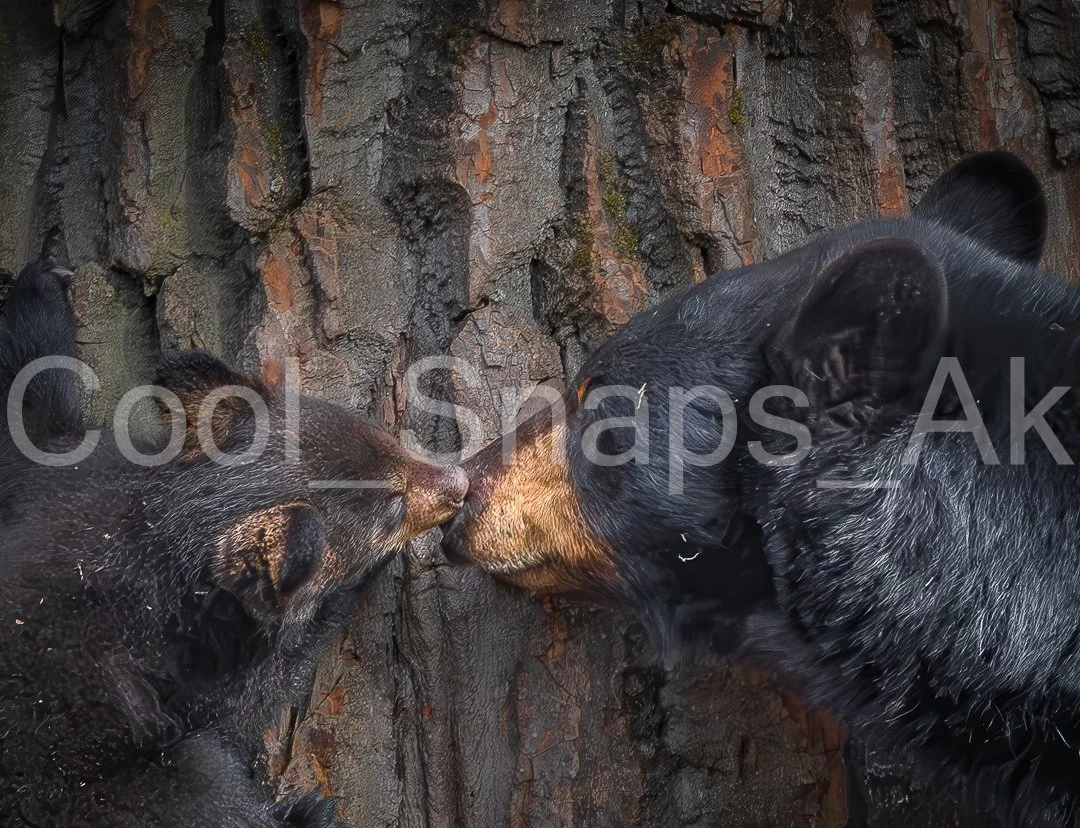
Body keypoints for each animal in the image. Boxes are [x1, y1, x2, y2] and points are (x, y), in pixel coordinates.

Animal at [0, 257, 468, 826]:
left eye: (382, 437)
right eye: (391, 510)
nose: (459, 483)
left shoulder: (61, 497)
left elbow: (33, 427)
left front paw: (42, 287)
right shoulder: (188, 657)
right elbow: (252, 695)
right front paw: (350, 587)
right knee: (200, 783)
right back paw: (304, 812)